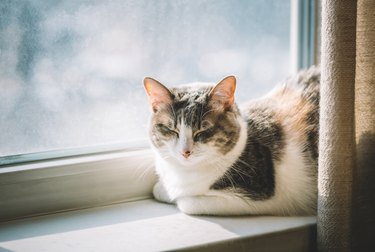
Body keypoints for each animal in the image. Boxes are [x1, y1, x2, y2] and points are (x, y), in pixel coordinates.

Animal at [144, 66, 320, 217]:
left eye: (203, 131)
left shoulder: (259, 196)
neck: (184, 174)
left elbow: (187, 203)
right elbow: (158, 189)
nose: (185, 152)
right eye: (171, 130)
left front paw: (176, 196)